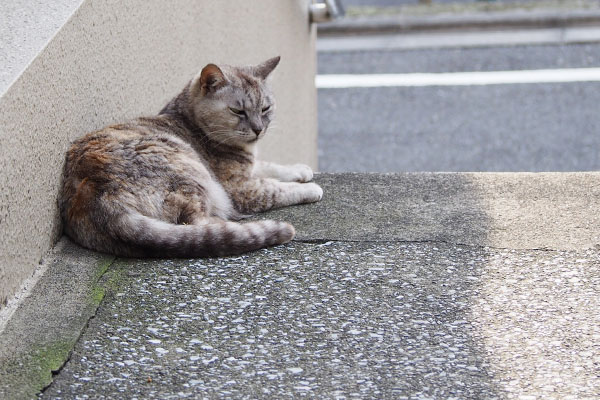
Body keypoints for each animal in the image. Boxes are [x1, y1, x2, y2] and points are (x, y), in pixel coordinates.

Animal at [59, 55, 324, 256]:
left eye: (265, 109)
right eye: (238, 111)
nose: (259, 129)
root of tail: (98, 195)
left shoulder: (249, 166)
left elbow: (267, 165)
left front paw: (299, 170)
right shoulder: (240, 188)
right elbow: (275, 188)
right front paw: (309, 188)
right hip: (192, 172)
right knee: (196, 225)